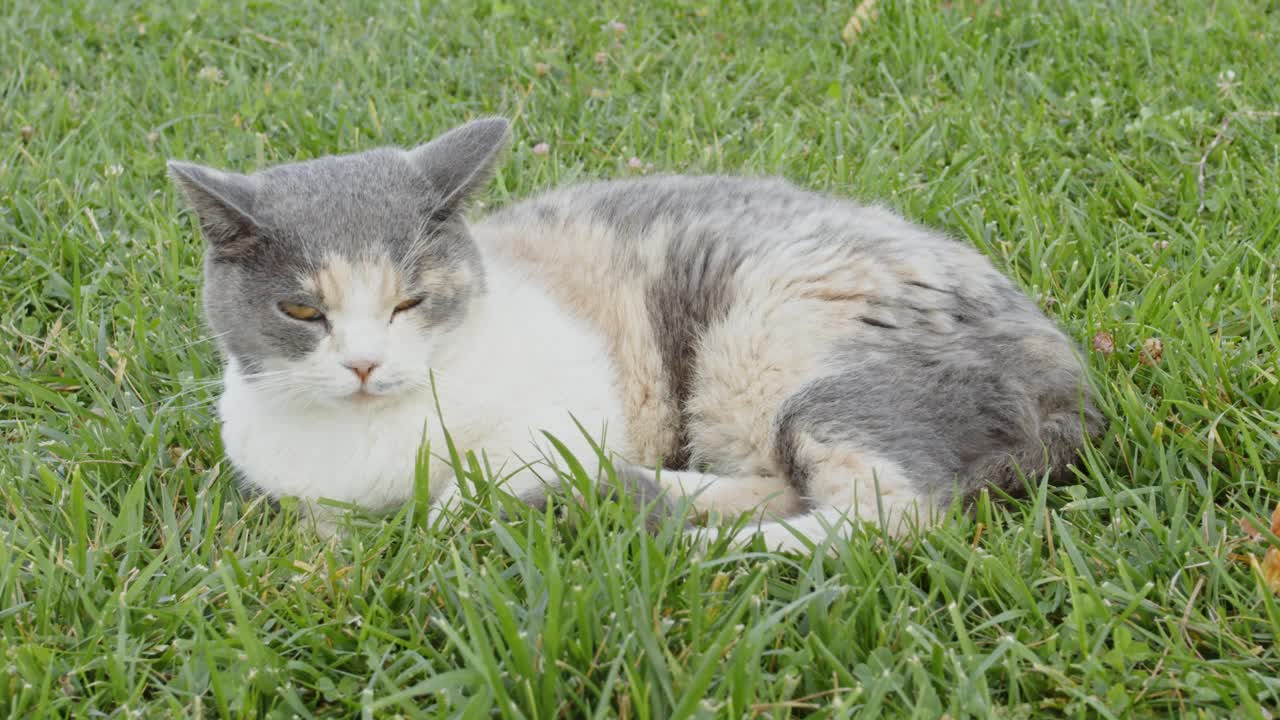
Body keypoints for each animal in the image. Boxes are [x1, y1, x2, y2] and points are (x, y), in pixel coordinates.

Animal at [170, 116, 1105, 548]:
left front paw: (457, 513)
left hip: (800, 358)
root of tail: (1077, 393)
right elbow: (316, 523)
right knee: (789, 488)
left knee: (887, 513)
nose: (364, 364)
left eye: (410, 300)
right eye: (302, 311)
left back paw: (694, 548)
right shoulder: (284, 479)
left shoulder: (559, 415)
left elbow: (465, 493)